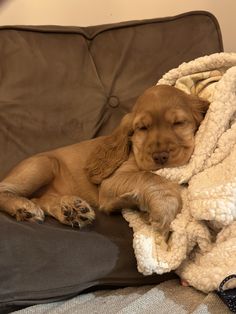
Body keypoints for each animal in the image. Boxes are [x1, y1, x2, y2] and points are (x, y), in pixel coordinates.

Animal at [0, 84, 208, 232]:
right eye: (142, 128)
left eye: (178, 123)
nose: (160, 156)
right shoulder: (110, 183)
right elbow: (150, 176)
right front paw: (164, 206)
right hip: (42, 165)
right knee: (6, 190)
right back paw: (23, 207)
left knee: (41, 198)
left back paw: (71, 210)